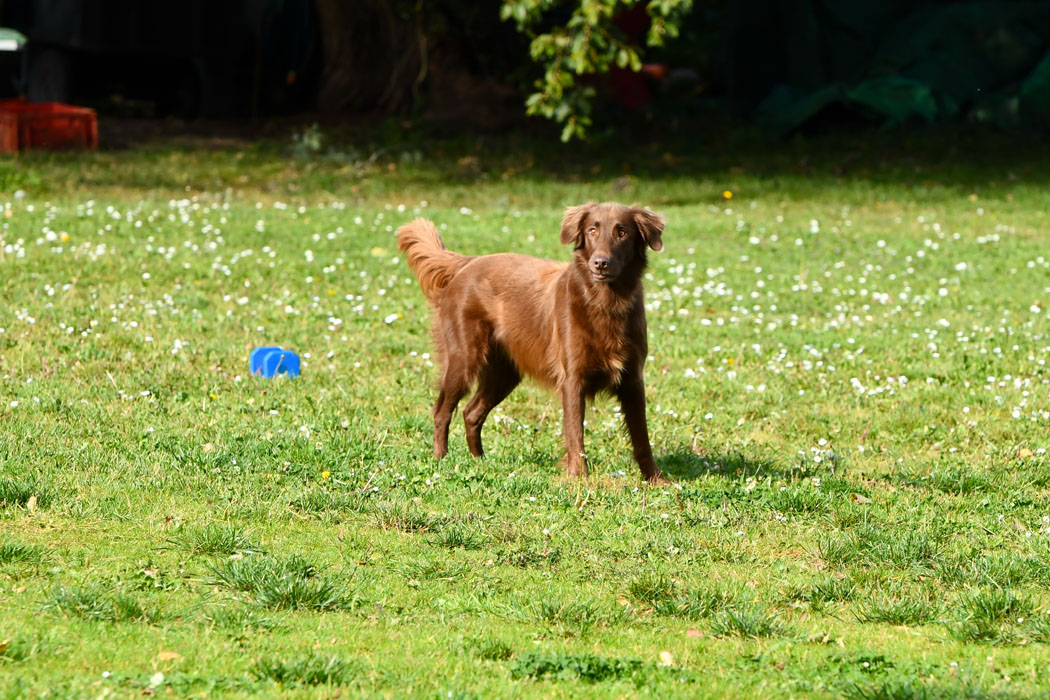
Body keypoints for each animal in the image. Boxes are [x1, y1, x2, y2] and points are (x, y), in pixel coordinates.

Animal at [394, 202, 663, 482]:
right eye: (592, 230)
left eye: (622, 232)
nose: (600, 263)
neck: (605, 302)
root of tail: (469, 262)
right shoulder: (572, 379)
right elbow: (575, 434)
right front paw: (579, 479)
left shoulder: (633, 379)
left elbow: (642, 437)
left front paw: (655, 479)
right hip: (464, 359)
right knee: (442, 411)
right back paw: (440, 459)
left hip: (504, 372)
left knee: (471, 413)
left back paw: (479, 461)